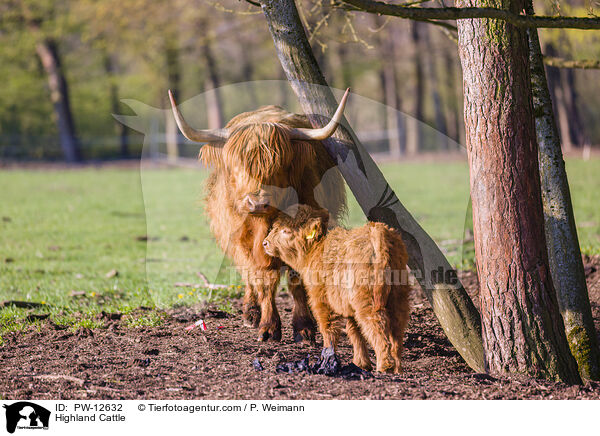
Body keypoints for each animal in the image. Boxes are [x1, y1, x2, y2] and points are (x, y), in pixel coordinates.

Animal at [166, 88, 350, 340]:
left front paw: (303, 326)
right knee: (247, 274)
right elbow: (262, 279)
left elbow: (296, 279)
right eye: (236, 166)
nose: (258, 203)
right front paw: (269, 327)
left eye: (279, 165)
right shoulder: (242, 240)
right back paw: (250, 313)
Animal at [264, 204, 410, 372]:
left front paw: (327, 357)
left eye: (286, 231)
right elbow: (355, 332)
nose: (265, 242)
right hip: (398, 298)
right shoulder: (348, 306)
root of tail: (377, 230)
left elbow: (328, 329)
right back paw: (397, 368)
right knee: (396, 332)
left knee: (377, 327)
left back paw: (384, 366)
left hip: (367, 301)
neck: (316, 249)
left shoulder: (322, 301)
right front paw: (360, 363)